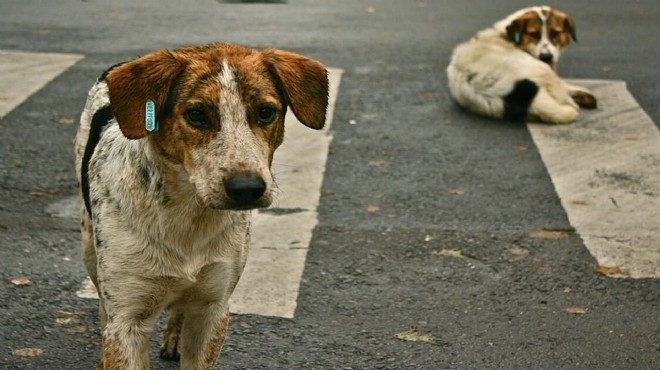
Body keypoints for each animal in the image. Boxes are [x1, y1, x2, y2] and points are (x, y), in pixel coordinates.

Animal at [74, 42, 328, 368]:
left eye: (265, 112)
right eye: (196, 115)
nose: (247, 189)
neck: (188, 214)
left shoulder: (212, 309)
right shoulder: (128, 318)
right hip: (89, 248)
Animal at [448, 5, 600, 124]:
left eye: (555, 33)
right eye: (533, 34)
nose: (546, 57)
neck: (506, 36)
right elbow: (564, 85)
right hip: (542, 70)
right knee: (564, 98)